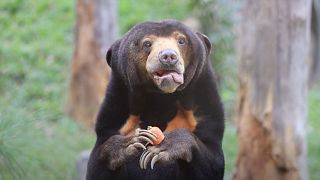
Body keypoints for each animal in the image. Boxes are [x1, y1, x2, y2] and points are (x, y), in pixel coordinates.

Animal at [86, 19, 224, 180]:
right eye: (147, 43)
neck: (160, 99)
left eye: (181, 40)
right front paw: (130, 142)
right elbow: (96, 164)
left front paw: (162, 149)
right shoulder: (114, 113)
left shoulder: (205, 110)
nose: (168, 56)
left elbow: (213, 162)